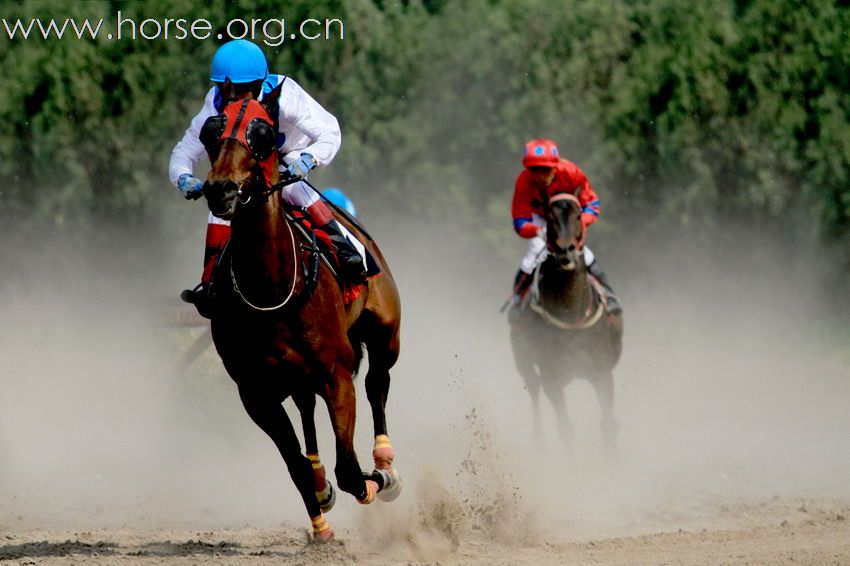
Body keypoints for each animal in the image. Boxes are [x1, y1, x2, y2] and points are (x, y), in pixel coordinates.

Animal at [199, 82, 400, 544]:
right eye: (211, 131)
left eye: (262, 133)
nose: (221, 190)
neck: (270, 288)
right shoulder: (255, 393)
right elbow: (297, 469)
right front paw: (321, 510)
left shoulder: (337, 374)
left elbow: (351, 471)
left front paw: (373, 481)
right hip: (294, 378)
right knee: (308, 411)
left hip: (386, 333)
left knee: (377, 384)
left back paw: (384, 463)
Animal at [506, 195, 620, 458]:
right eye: (549, 217)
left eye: (578, 215)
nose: (565, 250)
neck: (571, 315)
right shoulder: (551, 374)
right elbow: (566, 427)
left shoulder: (602, 370)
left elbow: (608, 423)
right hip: (523, 358)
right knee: (533, 386)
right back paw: (538, 437)